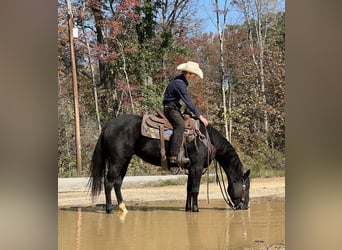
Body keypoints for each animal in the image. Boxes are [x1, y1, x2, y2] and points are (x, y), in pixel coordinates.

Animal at [88, 114, 250, 213]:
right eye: (245, 187)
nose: (246, 206)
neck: (205, 139)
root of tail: (108, 126)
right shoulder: (196, 168)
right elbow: (195, 189)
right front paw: (196, 209)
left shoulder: (191, 169)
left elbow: (188, 189)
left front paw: (188, 208)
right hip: (116, 161)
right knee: (108, 183)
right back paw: (109, 209)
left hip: (125, 161)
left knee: (117, 183)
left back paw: (123, 208)